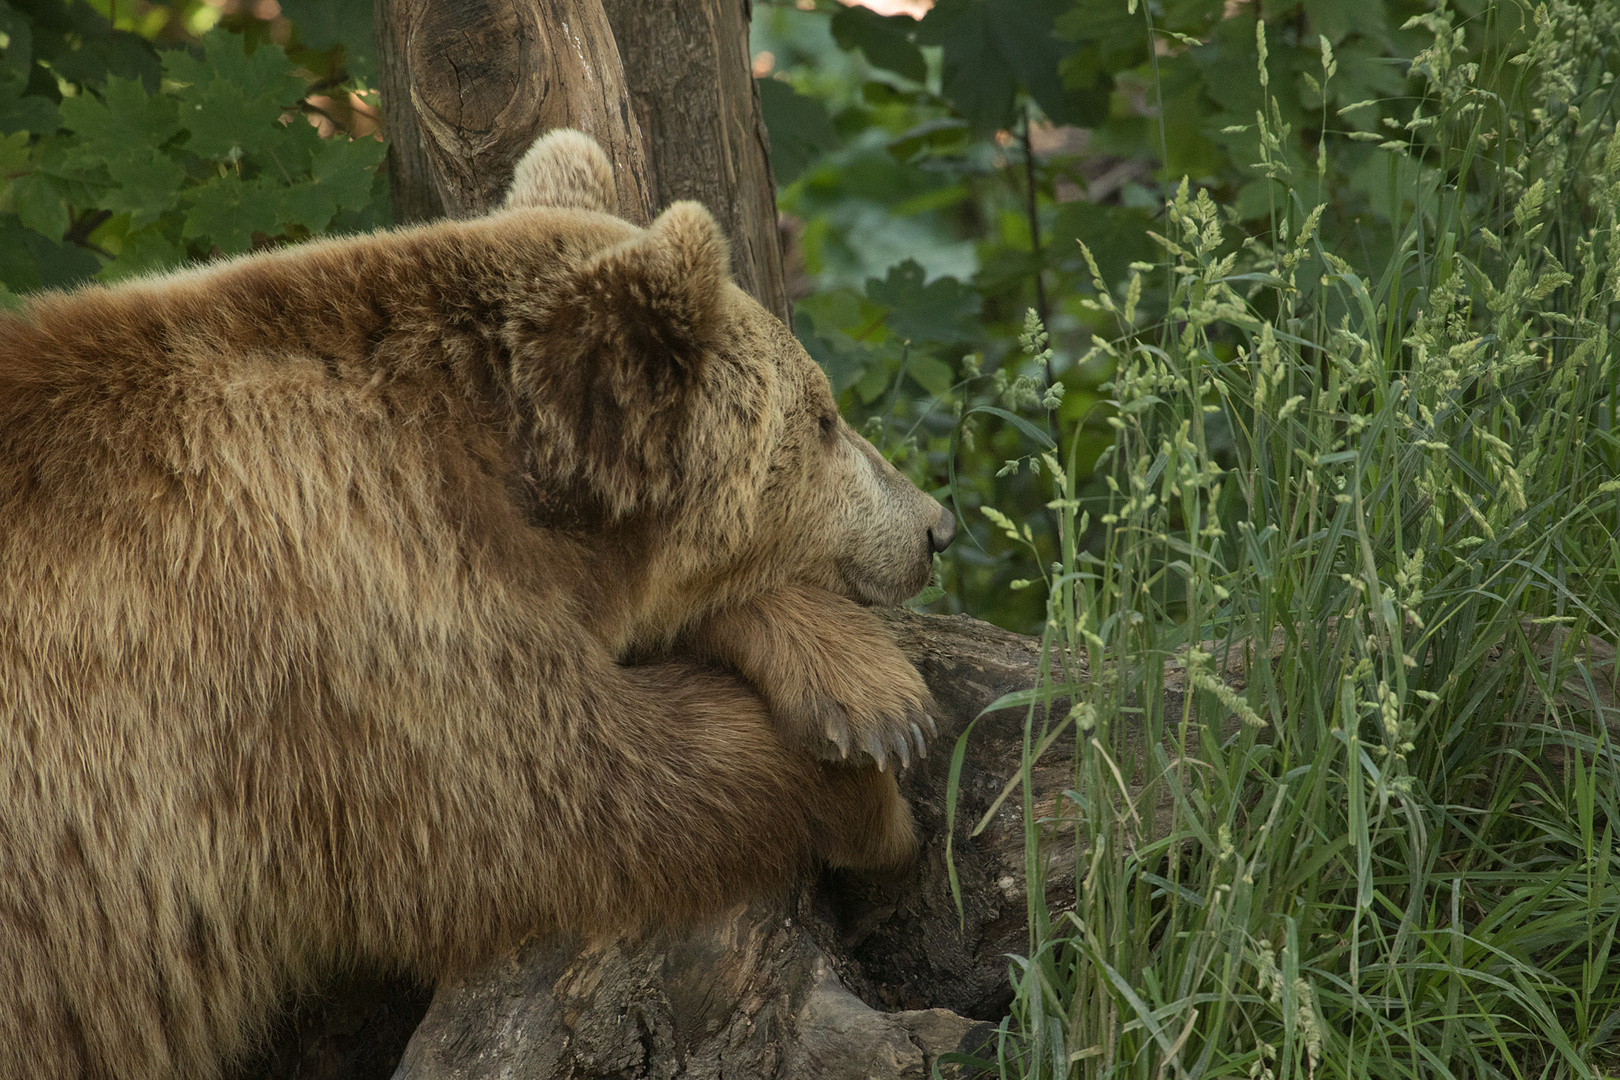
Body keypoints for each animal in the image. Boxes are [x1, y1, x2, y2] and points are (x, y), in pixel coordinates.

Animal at [0, 131, 952, 1075]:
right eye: (824, 420)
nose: (935, 526)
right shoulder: (337, 643)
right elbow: (578, 795)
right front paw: (877, 795)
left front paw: (858, 688)